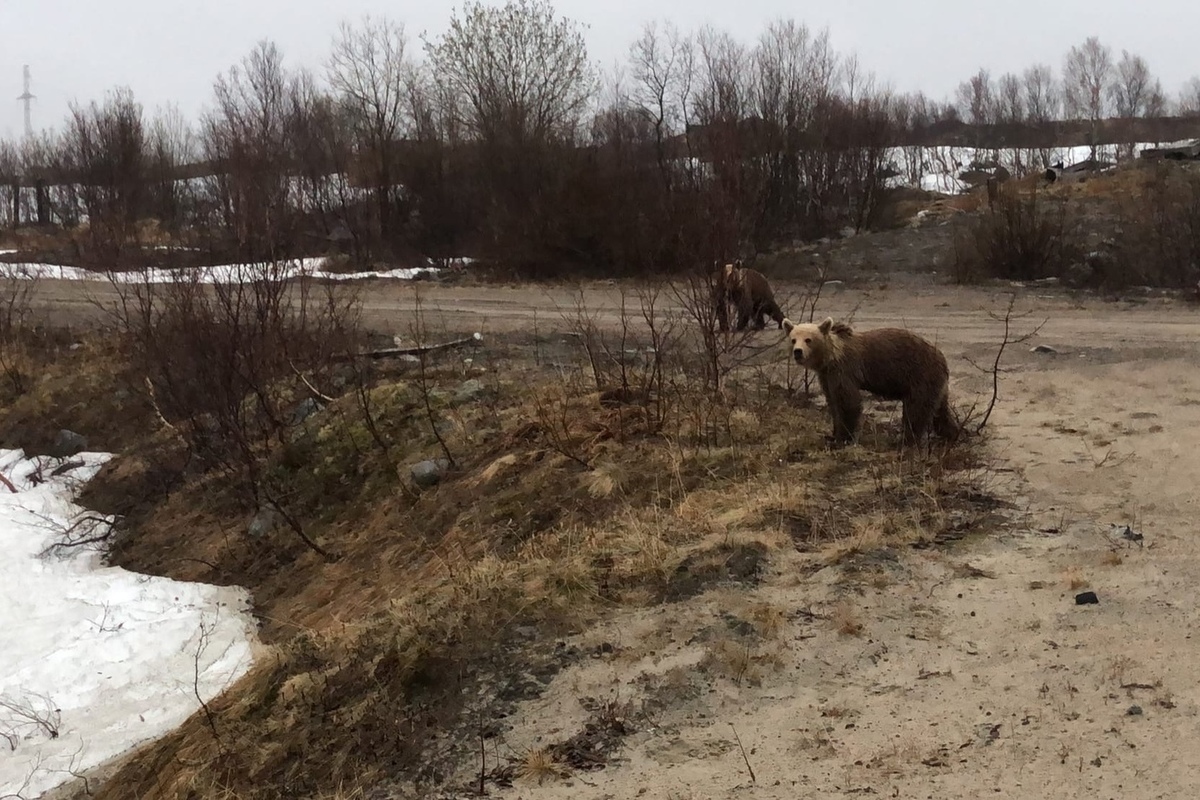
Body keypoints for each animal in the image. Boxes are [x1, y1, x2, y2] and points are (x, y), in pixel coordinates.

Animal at [782, 316, 960, 448]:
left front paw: (844, 439)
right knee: (940, 411)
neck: (829, 358)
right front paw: (832, 435)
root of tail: (942, 357)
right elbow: (833, 402)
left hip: (920, 375)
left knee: (916, 410)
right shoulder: (826, 376)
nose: (798, 352)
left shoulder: (844, 370)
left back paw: (905, 440)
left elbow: (848, 402)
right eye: (793, 339)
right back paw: (952, 435)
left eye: (808, 339)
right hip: (936, 383)